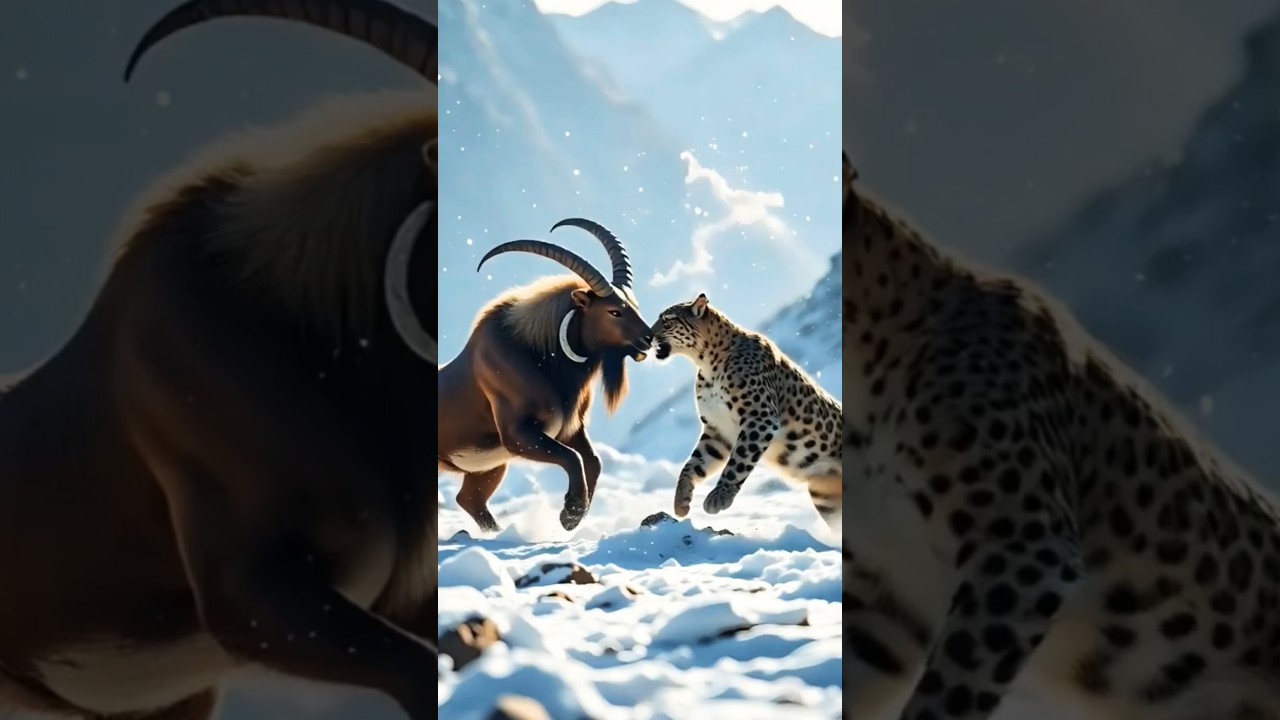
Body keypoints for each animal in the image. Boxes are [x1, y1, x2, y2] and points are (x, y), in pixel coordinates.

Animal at [648, 293, 842, 527]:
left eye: (668, 321)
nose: (647, 336)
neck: (707, 364)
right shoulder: (717, 431)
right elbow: (692, 464)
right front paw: (681, 502)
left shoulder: (759, 417)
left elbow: (738, 461)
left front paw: (719, 498)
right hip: (825, 499)